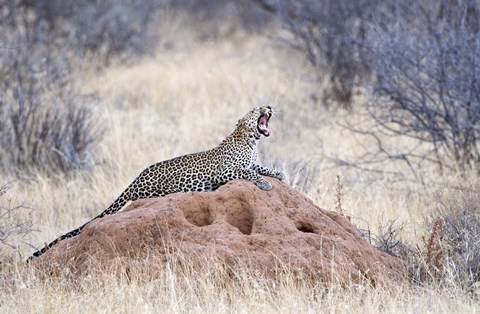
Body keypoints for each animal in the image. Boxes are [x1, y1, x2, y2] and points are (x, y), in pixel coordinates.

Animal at [28, 105, 284, 260]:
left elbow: (259, 168)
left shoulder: (250, 163)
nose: (269, 106)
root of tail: (138, 177)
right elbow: (249, 173)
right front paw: (266, 184)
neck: (250, 141)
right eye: (255, 109)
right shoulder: (226, 171)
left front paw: (278, 174)